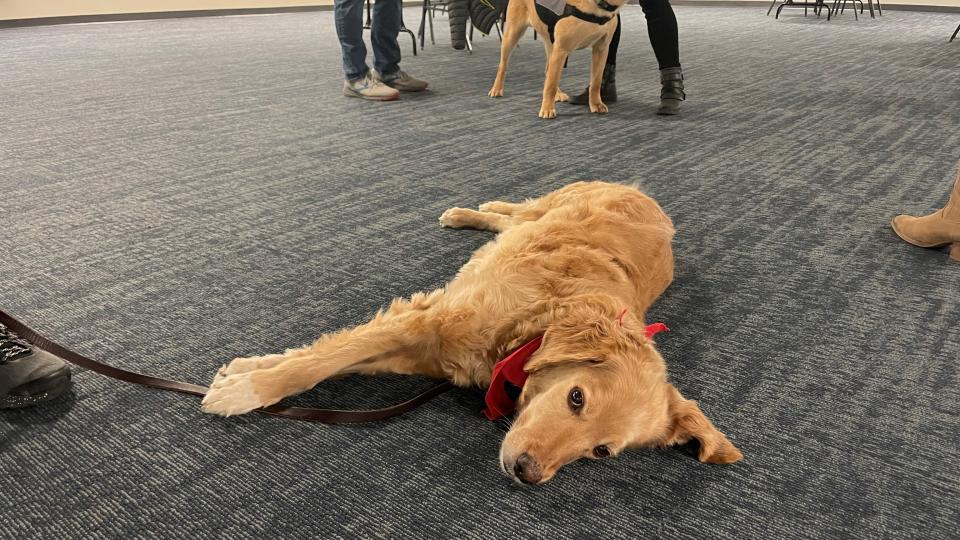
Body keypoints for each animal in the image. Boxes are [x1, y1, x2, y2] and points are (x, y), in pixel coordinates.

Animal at [202, 182, 744, 486]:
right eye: (576, 398)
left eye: (601, 452)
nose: (529, 474)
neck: (533, 327)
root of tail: (649, 198)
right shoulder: (424, 319)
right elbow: (317, 363)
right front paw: (247, 389)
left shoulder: (425, 349)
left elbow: (329, 357)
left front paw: (246, 371)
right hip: (550, 204)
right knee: (517, 210)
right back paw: (468, 211)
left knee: (510, 221)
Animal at [488, 0, 624, 117]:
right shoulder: (561, 49)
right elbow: (551, 85)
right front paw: (547, 109)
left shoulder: (602, 48)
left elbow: (596, 82)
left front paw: (596, 104)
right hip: (513, 33)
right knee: (503, 65)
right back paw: (496, 89)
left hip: (551, 42)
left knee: (549, 70)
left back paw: (558, 94)